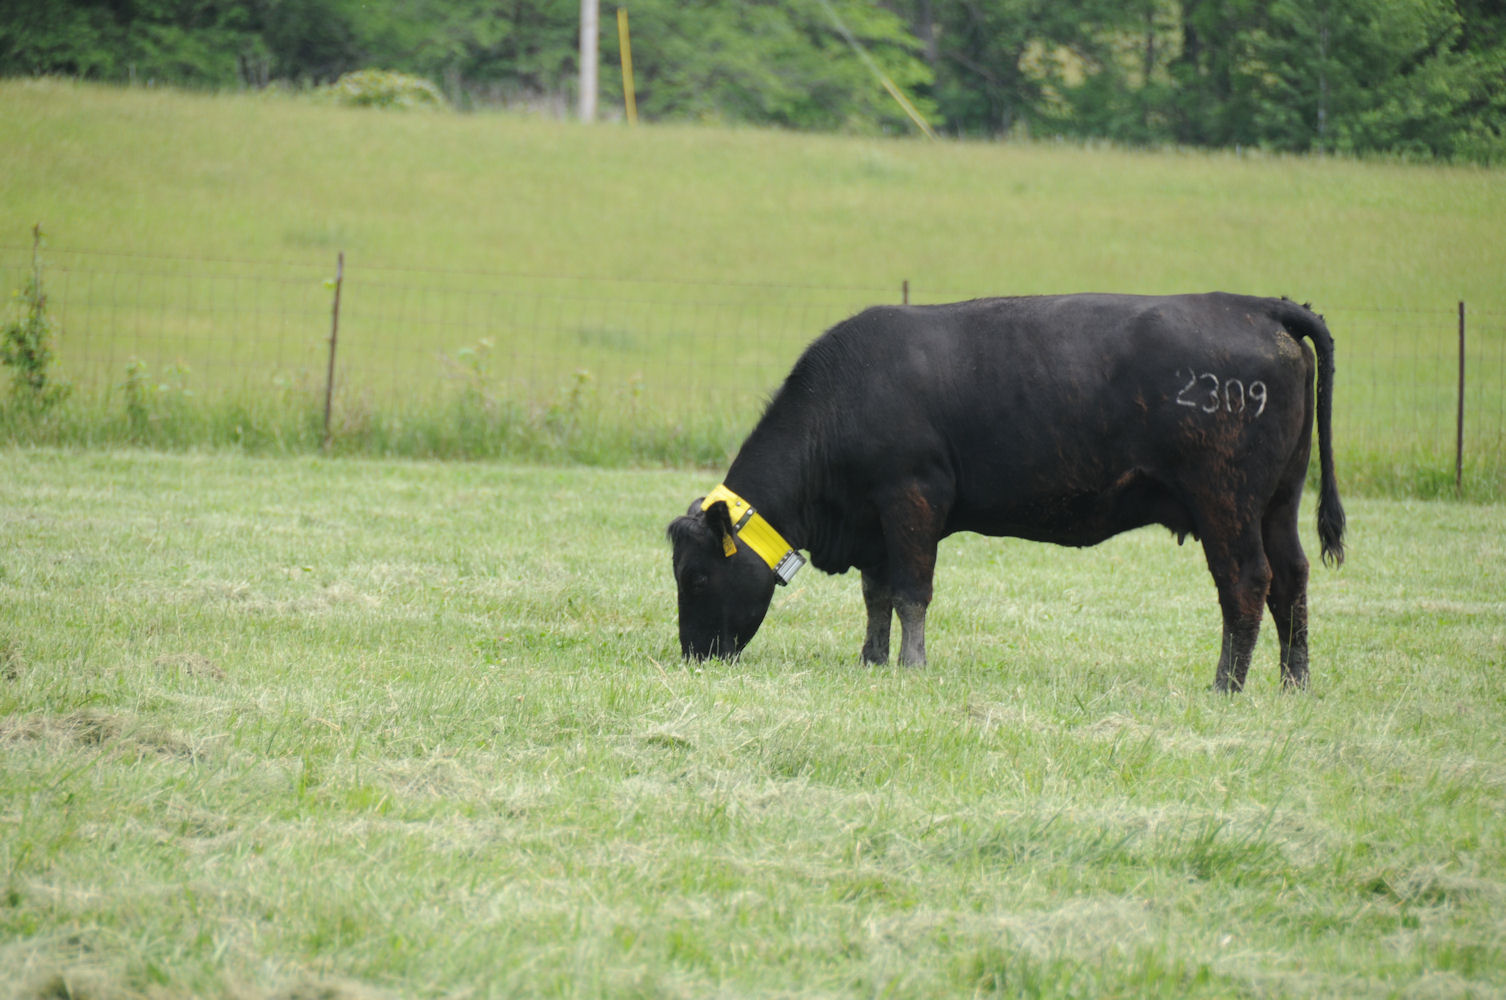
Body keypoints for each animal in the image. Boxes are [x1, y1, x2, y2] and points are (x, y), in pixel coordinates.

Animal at [665, 293, 1349, 692]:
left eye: (695, 577)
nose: (693, 656)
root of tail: (1257, 307)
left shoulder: (912, 497)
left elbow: (912, 592)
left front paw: (911, 667)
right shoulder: (876, 523)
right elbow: (877, 595)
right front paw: (871, 660)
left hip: (1225, 499)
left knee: (1246, 582)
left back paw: (1226, 685)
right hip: (1279, 500)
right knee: (1291, 577)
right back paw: (1293, 682)